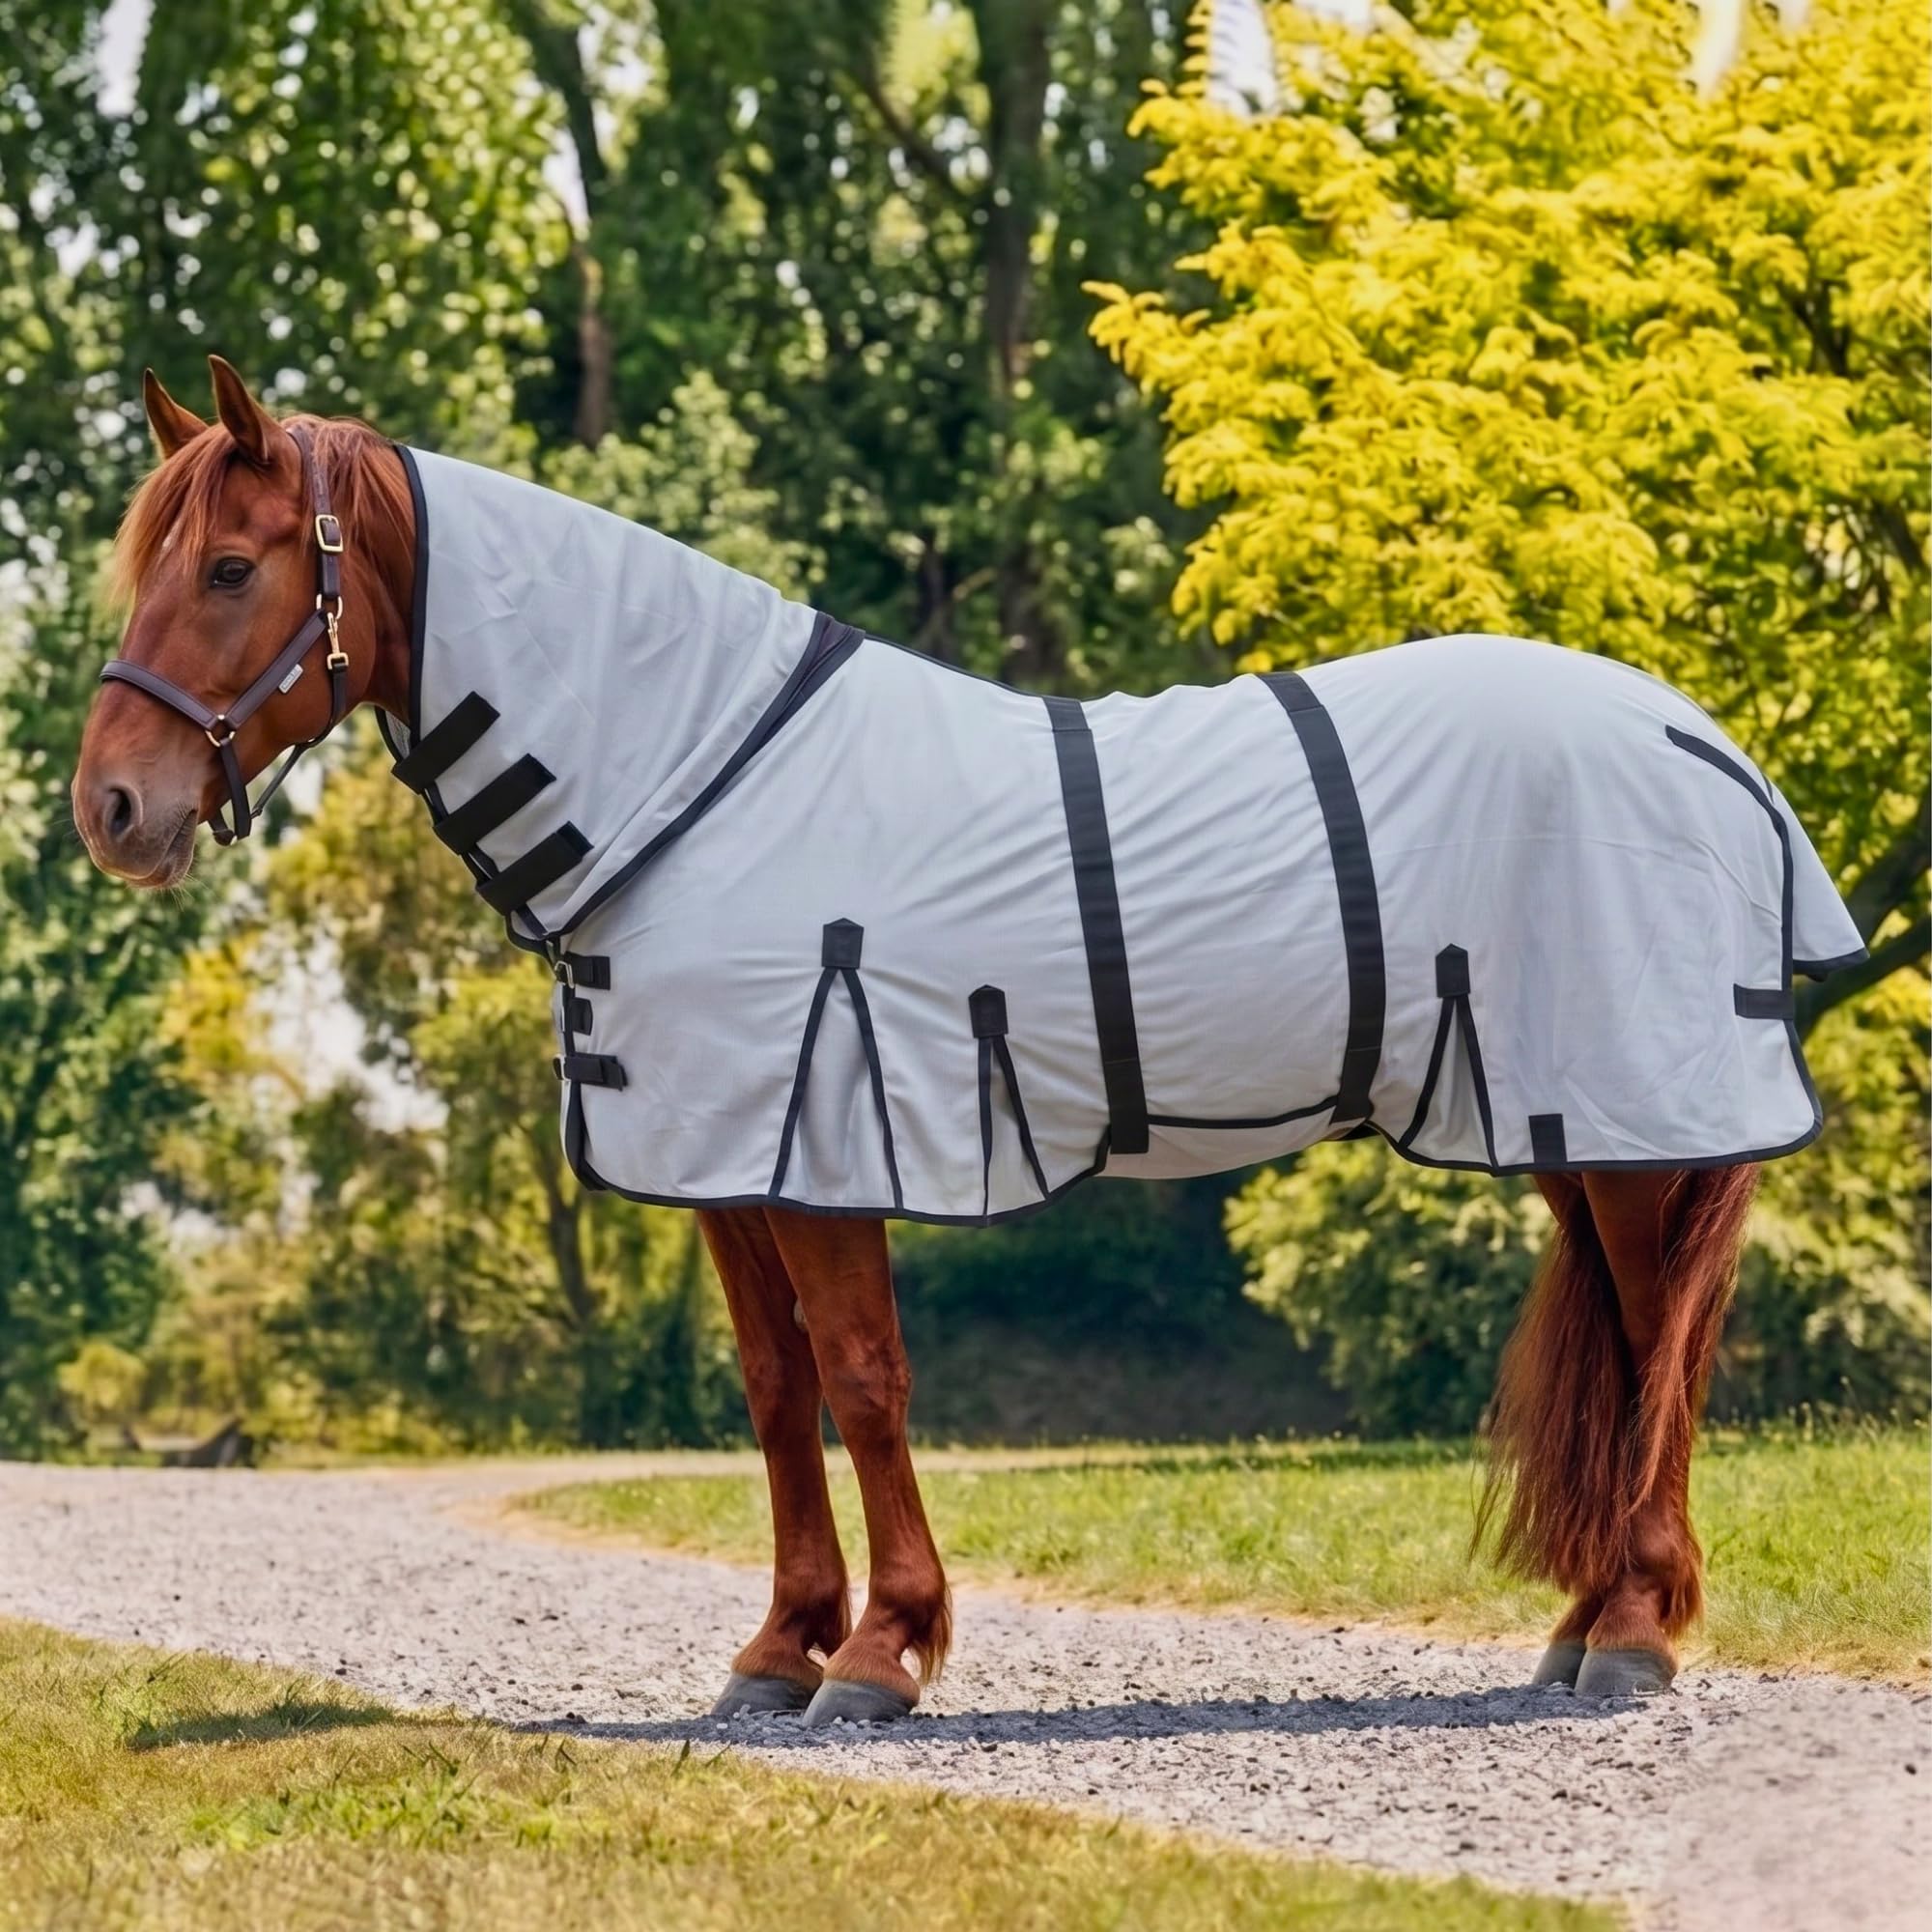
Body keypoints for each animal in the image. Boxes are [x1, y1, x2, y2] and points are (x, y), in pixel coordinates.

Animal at [72, 358, 1855, 1722]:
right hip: (1574, 1125)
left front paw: (883, 1652)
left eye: (230, 569)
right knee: (1635, 1342)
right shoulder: (728, 1160)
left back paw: (1634, 1634)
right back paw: (1586, 1623)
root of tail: (1696, 739)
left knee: (1665, 1346)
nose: (112, 812)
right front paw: (779, 1648)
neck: (699, 777)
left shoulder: (828, 1137)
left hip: (1628, 1120)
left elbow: (865, 1382)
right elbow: (776, 1390)